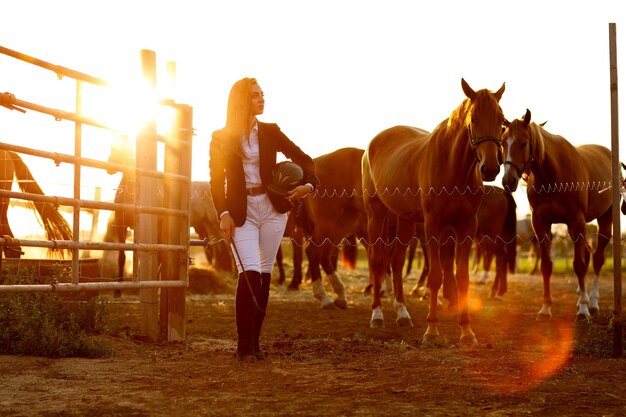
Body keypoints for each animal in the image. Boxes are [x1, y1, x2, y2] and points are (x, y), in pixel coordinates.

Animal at [360, 79, 502, 344]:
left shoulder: (466, 226)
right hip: (376, 214)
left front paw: (467, 331)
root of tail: (371, 146)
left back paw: (402, 312)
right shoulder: (433, 225)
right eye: (473, 119)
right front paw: (431, 330)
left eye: (501, 119)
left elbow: (462, 278)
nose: (490, 168)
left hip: (405, 220)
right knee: (377, 260)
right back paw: (377, 315)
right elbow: (435, 276)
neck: (453, 168)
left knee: (396, 260)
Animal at [500, 109, 612, 320]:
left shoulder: (576, 220)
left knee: (597, 259)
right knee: (587, 253)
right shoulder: (540, 222)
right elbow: (546, 265)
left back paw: (592, 302)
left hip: (604, 219)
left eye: (523, 143)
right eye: (503, 143)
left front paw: (583, 310)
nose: (508, 180)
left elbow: (579, 265)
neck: (553, 174)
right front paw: (546, 308)